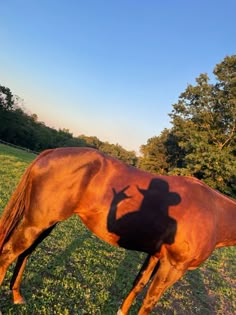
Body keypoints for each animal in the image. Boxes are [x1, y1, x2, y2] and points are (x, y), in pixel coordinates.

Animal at [0, 148, 235, 315]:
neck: (215, 212)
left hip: (46, 224)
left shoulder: (155, 256)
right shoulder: (174, 266)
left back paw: (17, 295)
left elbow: (138, 285)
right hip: (36, 223)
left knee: (24, 253)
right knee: (8, 253)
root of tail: (51, 152)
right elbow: (149, 301)